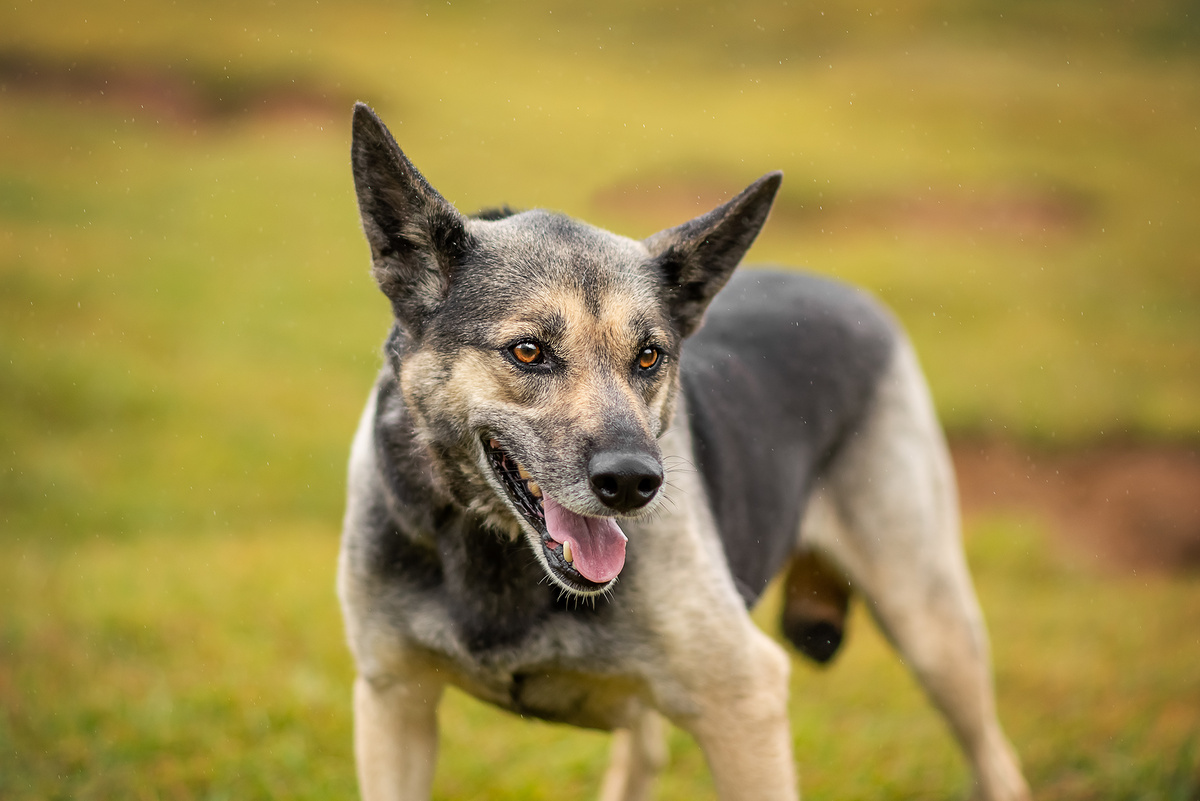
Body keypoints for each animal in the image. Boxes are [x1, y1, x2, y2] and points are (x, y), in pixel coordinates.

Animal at [338, 101, 1032, 801]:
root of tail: (847, 292)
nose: (633, 483)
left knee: (996, 756)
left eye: (650, 357)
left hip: (930, 626)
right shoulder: (393, 702)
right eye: (528, 351)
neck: (496, 551)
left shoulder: (745, 701)